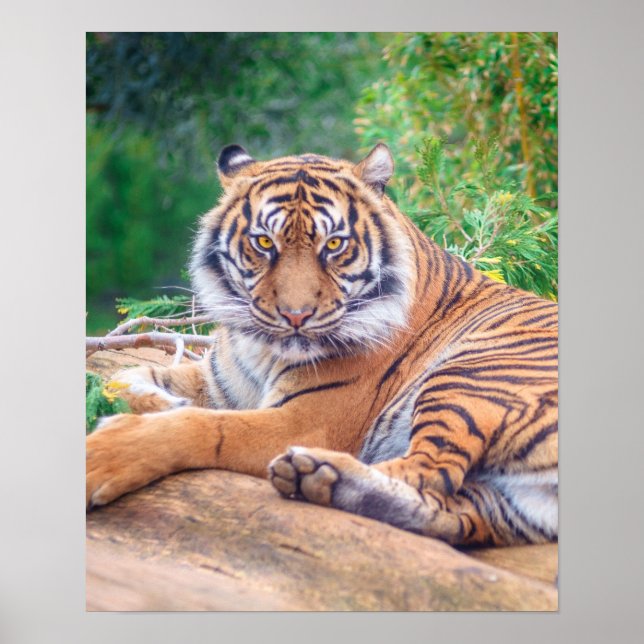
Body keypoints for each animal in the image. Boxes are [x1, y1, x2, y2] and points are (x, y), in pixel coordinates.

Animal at [86, 143, 558, 547]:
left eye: (334, 245)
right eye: (264, 242)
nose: (296, 316)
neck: (262, 349)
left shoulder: (304, 420)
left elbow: (206, 427)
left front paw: (103, 456)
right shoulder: (218, 381)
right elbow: (130, 375)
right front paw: (160, 400)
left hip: (470, 378)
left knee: (429, 471)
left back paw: (319, 469)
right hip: (507, 499)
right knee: (451, 513)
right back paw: (319, 478)